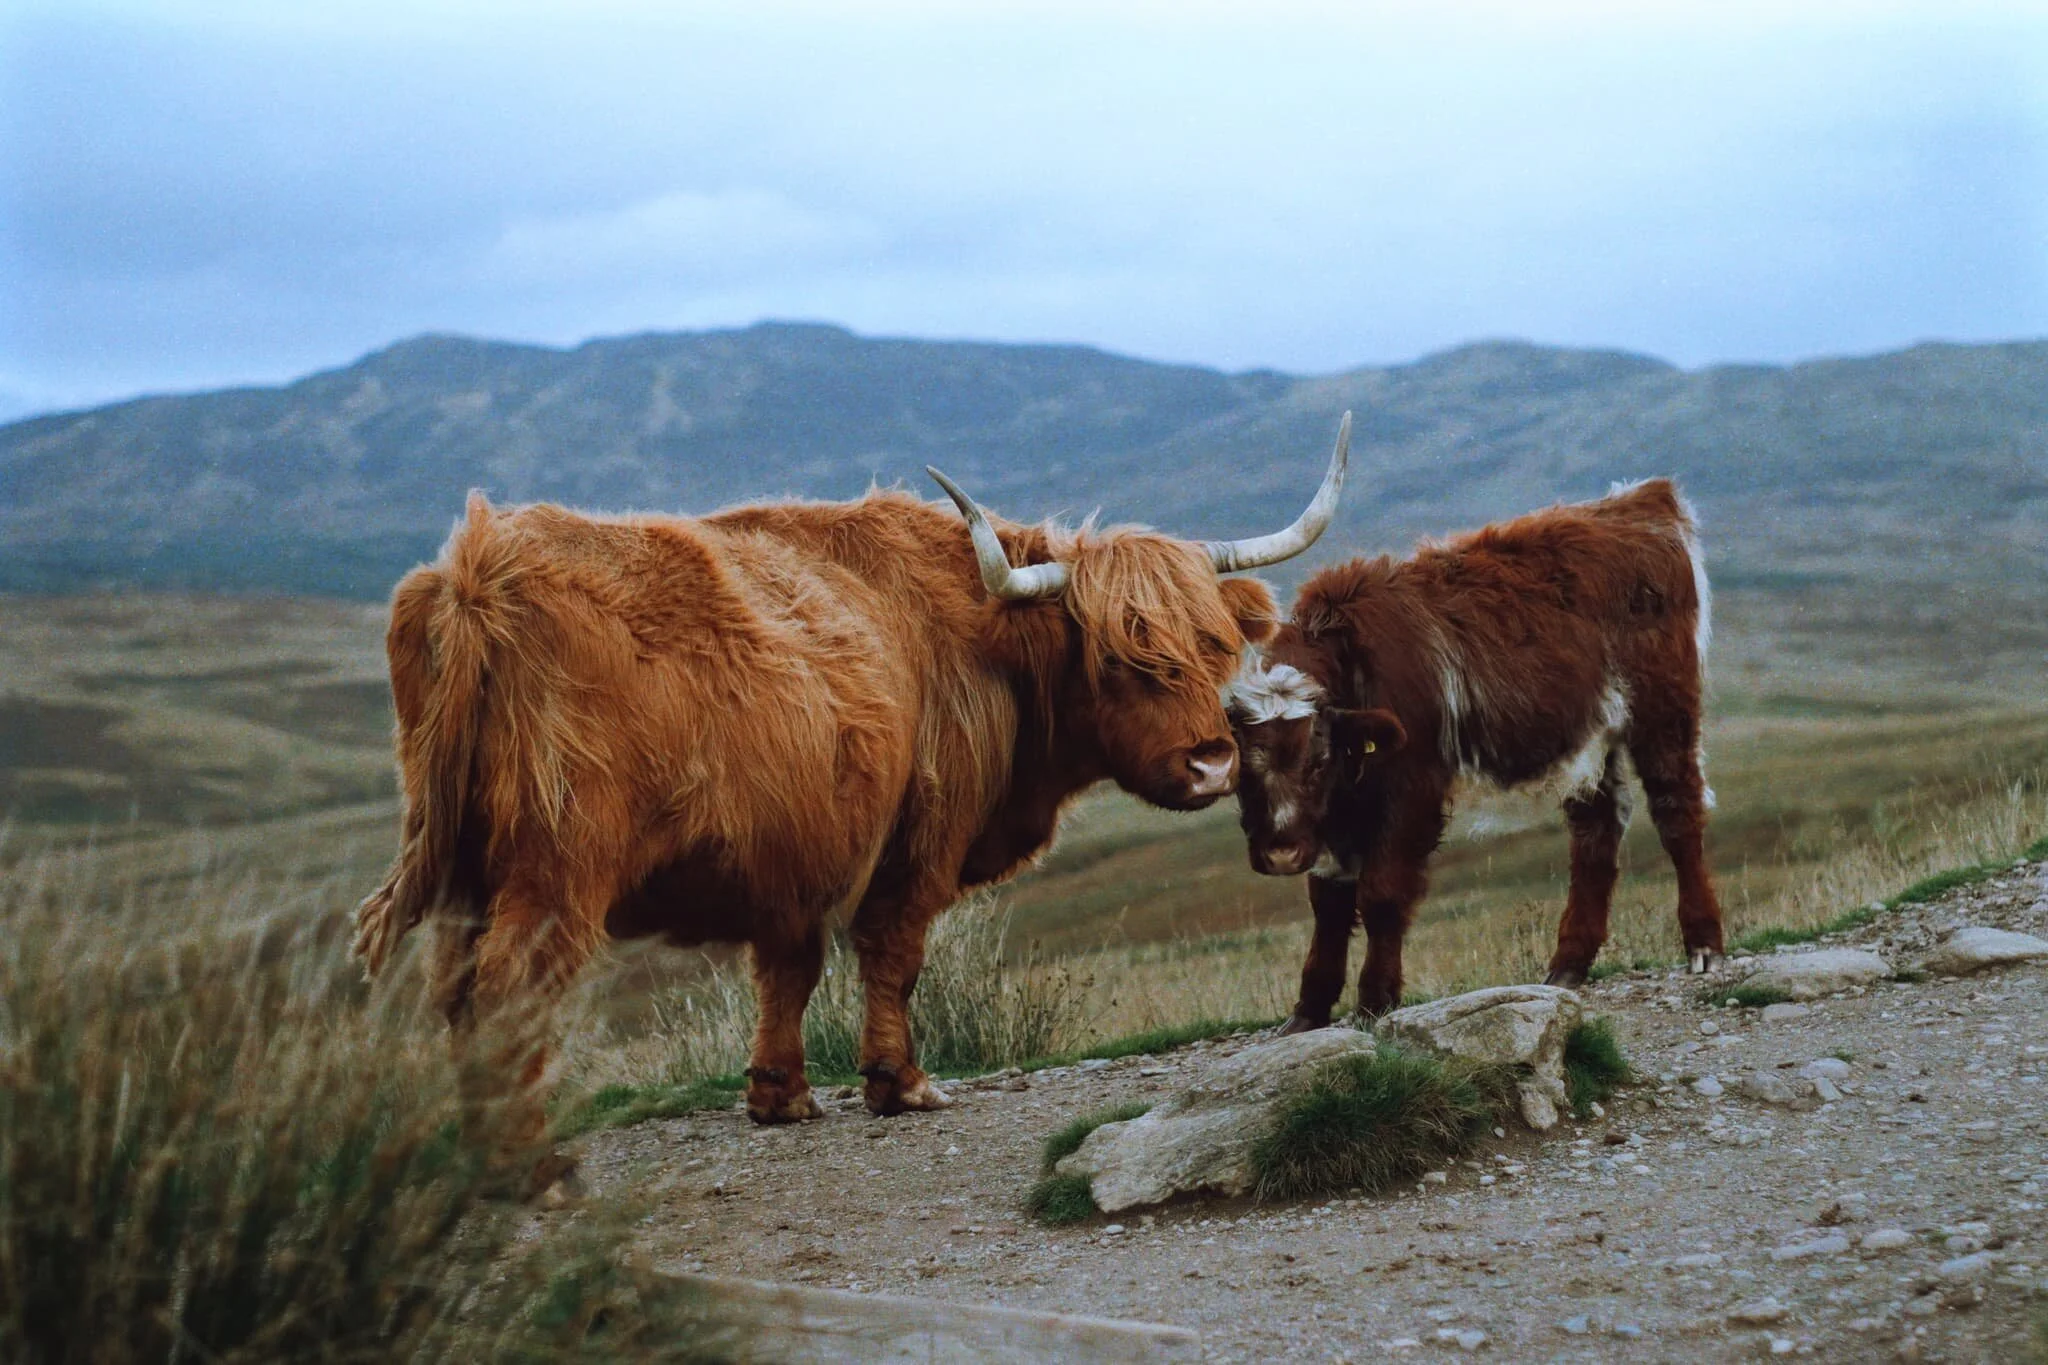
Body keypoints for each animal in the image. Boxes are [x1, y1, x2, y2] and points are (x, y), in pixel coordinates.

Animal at [353, 417, 1352, 1185]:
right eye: (1120, 657)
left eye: (1217, 643)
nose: (1213, 764)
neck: (985, 642)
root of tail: (475, 569)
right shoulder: (922, 837)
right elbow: (894, 954)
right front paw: (899, 1081)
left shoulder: (795, 854)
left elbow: (787, 972)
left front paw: (780, 1095)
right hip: (557, 867)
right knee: (506, 990)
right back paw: (531, 1167)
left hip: (465, 872)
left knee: (455, 990)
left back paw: (482, 1149)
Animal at [1224, 477, 1722, 1033]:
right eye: (1243, 770)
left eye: (1317, 759)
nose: (1280, 854)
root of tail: (1644, 502)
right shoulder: (1334, 820)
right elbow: (1329, 905)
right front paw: (1308, 1011)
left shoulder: (1412, 792)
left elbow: (1381, 893)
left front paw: (1375, 999)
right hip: (1591, 741)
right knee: (1596, 832)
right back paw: (1568, 963)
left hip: (1664, 711)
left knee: (1677, 809)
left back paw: (1703, 944)